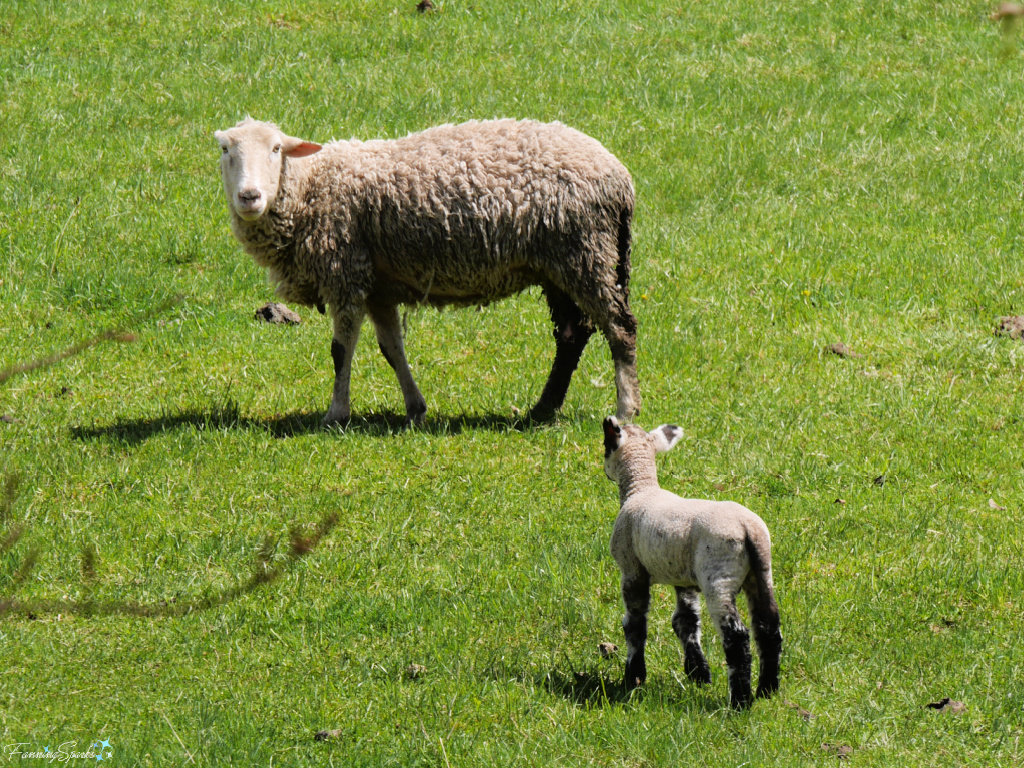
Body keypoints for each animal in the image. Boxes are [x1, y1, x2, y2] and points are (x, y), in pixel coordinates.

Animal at [214, 117, 641, 427]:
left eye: (276, 149)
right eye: (225, 150)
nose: (249, 197)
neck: (310, 189)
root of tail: (620, 177)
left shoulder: (345, 273)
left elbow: (340, 350)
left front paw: (336, 414)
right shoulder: (377, 287)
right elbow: (392, 349)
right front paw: (415, 409)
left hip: (584, 253)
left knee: (619, 328)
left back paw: (625, 408)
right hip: (559, 264)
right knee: (571, 334)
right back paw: (544, 408)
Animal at [602, 416, 782, 709]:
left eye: (606, 445)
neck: (641, 488)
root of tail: (748, 530)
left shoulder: (631, 568)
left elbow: (635, 624)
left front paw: (634, 676)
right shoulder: (682, 576)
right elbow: (685, 621)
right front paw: (698, 672)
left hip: (718, 572)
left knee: (737, 636)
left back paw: (740, 700)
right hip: (761, 571)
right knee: (768, 627)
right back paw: (767, 690)